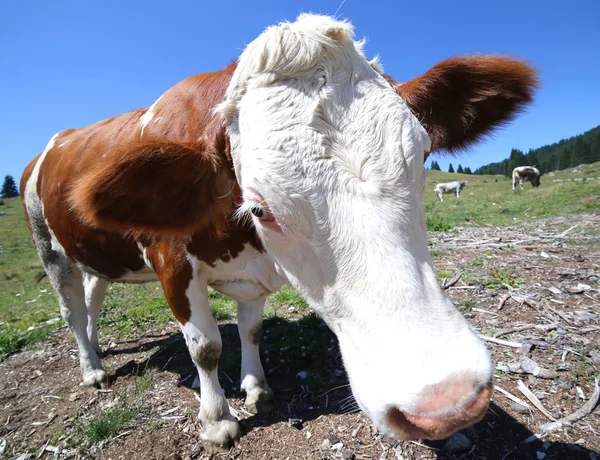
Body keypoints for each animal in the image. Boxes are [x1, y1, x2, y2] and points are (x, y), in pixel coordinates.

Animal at [19, 14, 540, 450]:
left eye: (423, 159)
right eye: (260, 208)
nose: (448, 401)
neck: (246, 243)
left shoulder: (254, 276)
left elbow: (251, 330)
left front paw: (256, 387)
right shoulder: (172, 262)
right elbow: (206, 348)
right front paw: (217, 420)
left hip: (93, 253)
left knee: (92, 296)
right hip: (48, 248)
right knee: (70, 309)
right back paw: (92, 368)